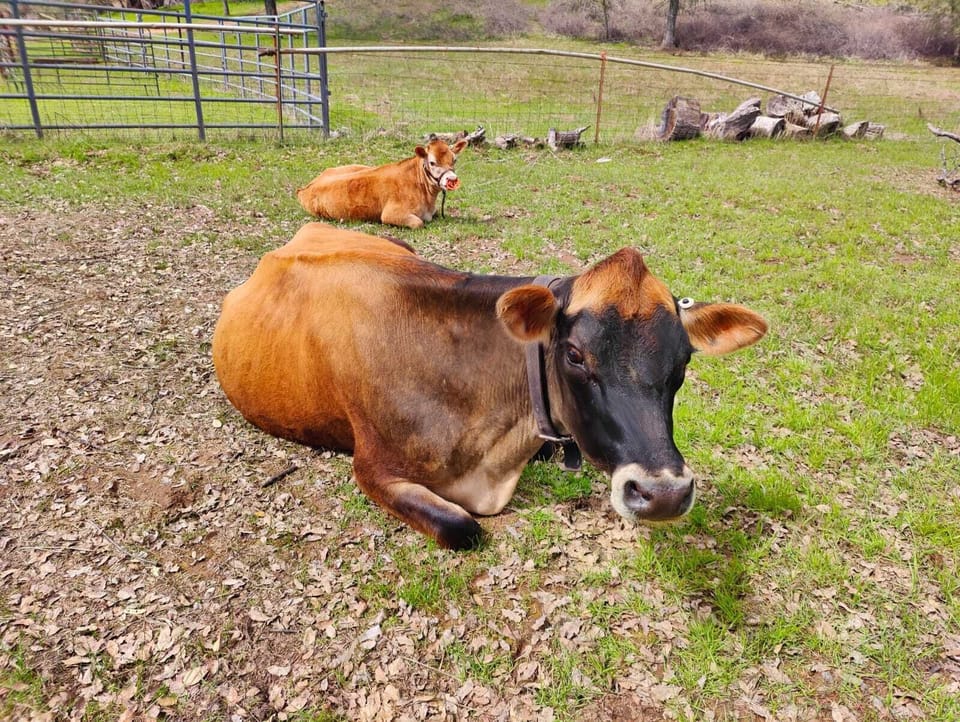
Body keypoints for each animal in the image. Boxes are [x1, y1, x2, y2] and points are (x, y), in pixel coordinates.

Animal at [296, 139, 468, 229]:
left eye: (454, 160)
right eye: (432, 162)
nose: (452, 179)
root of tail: (306, 187)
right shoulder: (391, 214)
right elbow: (419, 223)